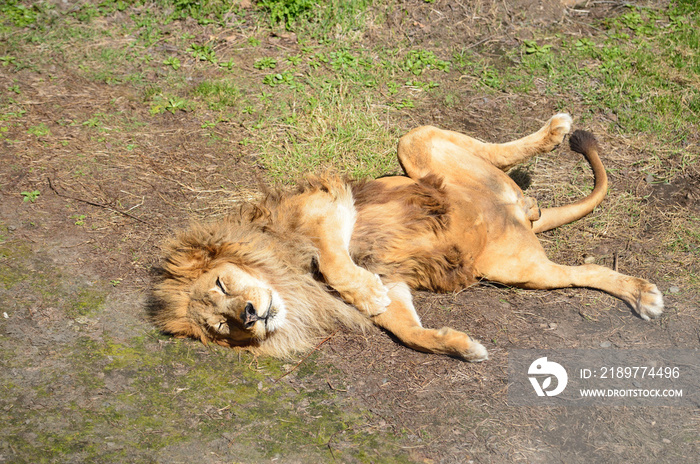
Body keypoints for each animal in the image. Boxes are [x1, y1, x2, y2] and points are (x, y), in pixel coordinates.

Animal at [150, 114, 664, 360]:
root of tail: (519, 211)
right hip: (518, 269)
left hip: (415, 150)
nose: (250, 315)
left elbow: (333, 260)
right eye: (223, 327)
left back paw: (556, 131)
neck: (290, 282)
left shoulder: (327, 203)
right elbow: (407, 330)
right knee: (585, 272)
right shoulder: (393, 281)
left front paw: (362, 290)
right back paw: (638, 293)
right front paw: (461, 347)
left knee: (449, 140)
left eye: (222, 284)